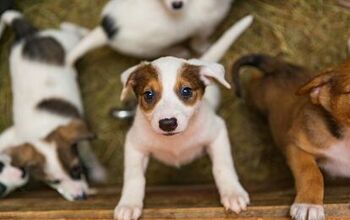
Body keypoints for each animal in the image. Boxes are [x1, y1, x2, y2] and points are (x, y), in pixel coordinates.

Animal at [0, 9, 105, 199]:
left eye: (76, 170)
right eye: (54, 182)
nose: (80, 197)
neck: (42, 130)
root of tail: (29, 35)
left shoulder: (81, 139)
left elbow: (88, 154)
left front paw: (98, 172)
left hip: (67, 41)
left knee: (70, 29)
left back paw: (86, 32)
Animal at [65, 0, 235, 64]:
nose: (177, 5)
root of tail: (106, 31)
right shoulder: (204, 29)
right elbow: (199, 43)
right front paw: (204, 48)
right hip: (148, 49)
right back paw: (180, 51)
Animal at [113, 15, 253, 220]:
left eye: (186, 91)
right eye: (148, 95)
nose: (167, 123)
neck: (175, 142)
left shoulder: (218, 132)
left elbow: (223, 166)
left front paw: (232, 192)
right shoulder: (134, 144)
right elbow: (133, 176)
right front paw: (129, 203)